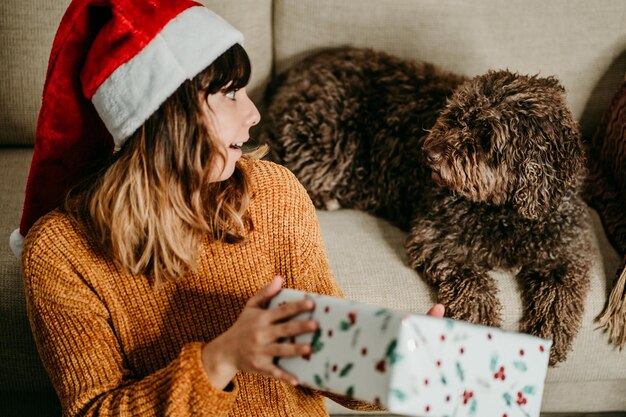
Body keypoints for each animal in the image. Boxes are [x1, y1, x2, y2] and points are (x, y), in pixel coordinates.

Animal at [260, 47, 592, 362]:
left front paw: (549, 337)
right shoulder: (436, 239)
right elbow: (473, 284)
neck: (505, 212)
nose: (429, 153)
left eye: (487, 136)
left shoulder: (566, 253)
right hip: (327, 145)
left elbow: (562, 295)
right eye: (456, 115)